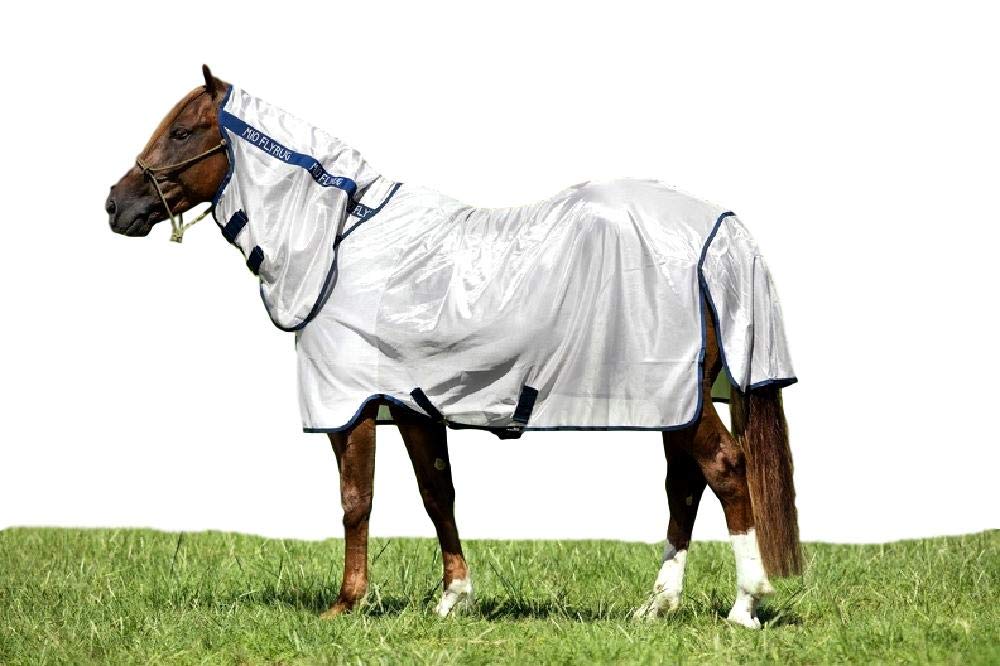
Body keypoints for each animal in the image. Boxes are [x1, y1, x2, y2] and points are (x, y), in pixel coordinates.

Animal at [106, 66, 802, 628]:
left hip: (674, 396)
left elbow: (356, 501)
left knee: (725, 470)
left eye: (182, 132)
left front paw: (346, 603)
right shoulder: (413, 403)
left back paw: (745, 604)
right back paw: (656, 606)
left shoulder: (351, 406)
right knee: (684, 484)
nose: (115, 204)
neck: (342, 245)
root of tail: (719, 229)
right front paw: (452, 599)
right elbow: (437, 492)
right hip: (672, 400)